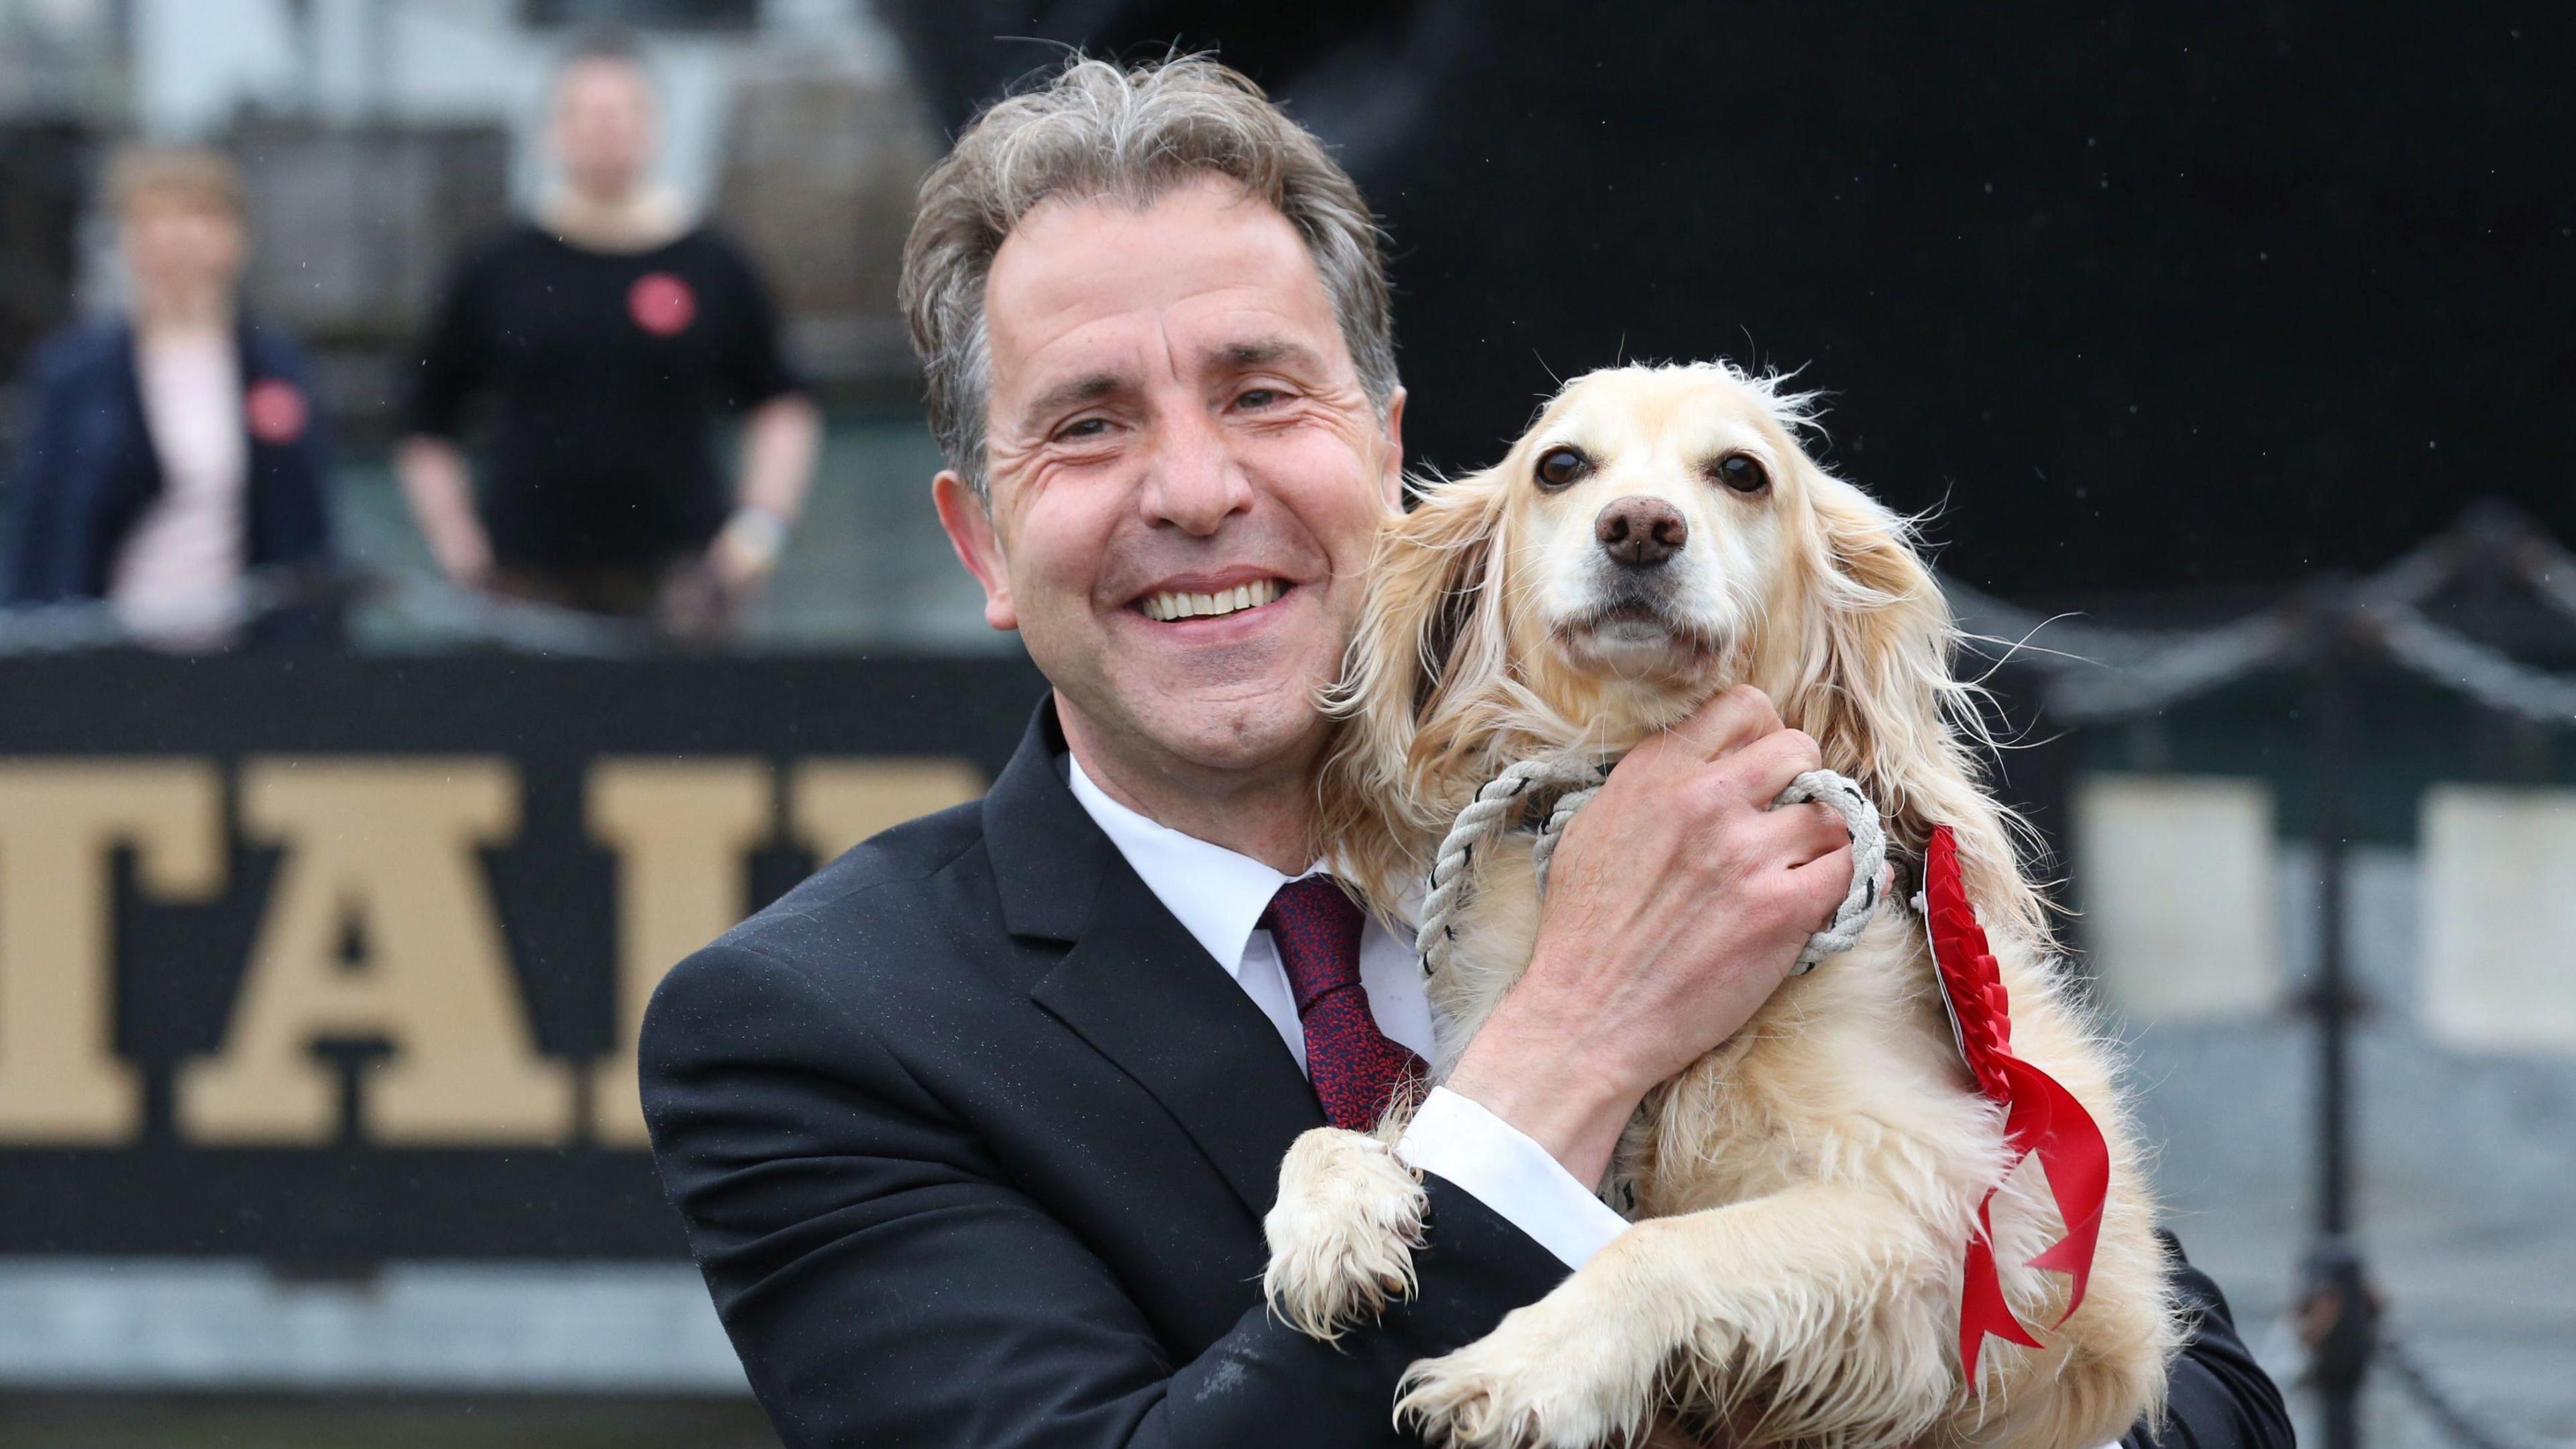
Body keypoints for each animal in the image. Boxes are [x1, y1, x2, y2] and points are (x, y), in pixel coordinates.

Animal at [1262, 361, 2174, 1444]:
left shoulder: (1945, 1213)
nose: (1640, 528)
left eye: (1742, 472)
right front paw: (1334, 1216)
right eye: (1559, 466)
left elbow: (1653, 1249)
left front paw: (1522, 1368)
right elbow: (1349, 1131)